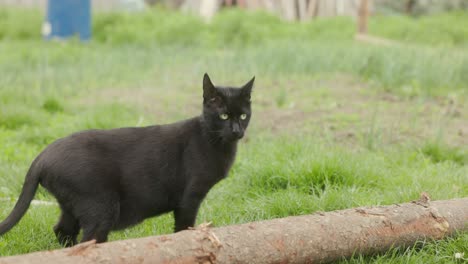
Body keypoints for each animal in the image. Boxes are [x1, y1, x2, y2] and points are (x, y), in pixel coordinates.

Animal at [0, 73, 254, 246]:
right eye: (223, 115)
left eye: (243, 115)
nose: (236, 130)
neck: (216, 142)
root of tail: (42, 156)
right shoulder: (189, 198)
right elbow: (183, 229)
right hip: (101, 208)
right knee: (88, 241)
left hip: (71, 206)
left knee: (62, 231)